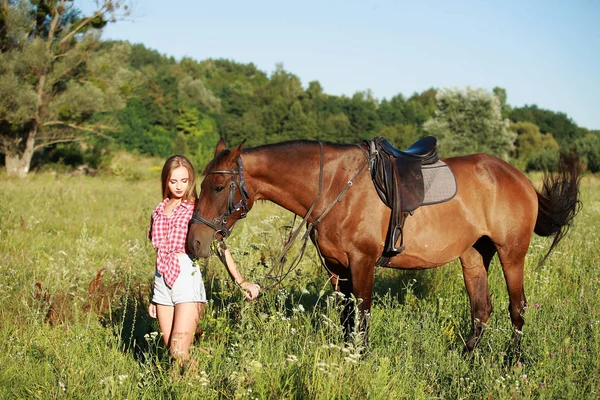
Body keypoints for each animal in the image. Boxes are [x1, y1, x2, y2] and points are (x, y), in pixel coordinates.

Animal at [189, 138, 580, 350]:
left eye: (218, 187)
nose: (194, 242)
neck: (334, 186)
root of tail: (520, 179)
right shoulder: (338, 269)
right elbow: (347, 317)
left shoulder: (362, 263)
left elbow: (361, 315)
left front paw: (359, 360)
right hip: (473, 255)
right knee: (481, 309)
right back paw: (466, 358)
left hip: (511, 254)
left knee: (518, 307)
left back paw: (513, 365)